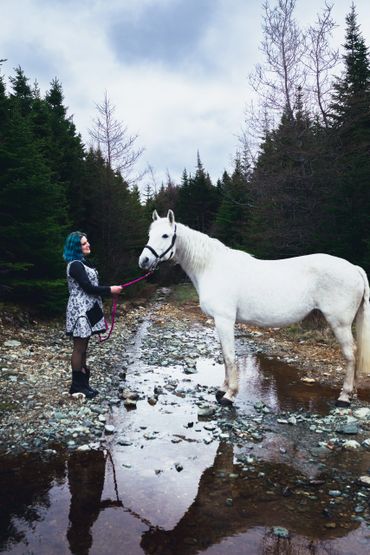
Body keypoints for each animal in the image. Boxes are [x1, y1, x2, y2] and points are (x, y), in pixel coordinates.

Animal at [139, 211, 370, 406]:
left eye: (165, 235)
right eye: (149, 234)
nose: (144, 261)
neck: (212, 267)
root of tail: (354, 268)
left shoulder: (224, 320)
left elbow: (230, 356)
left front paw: (230, 395)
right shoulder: (218, 322)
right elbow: (224, 355)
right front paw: (222, 389)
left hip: (339, 323)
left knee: (350, 354)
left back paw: (344, 397)